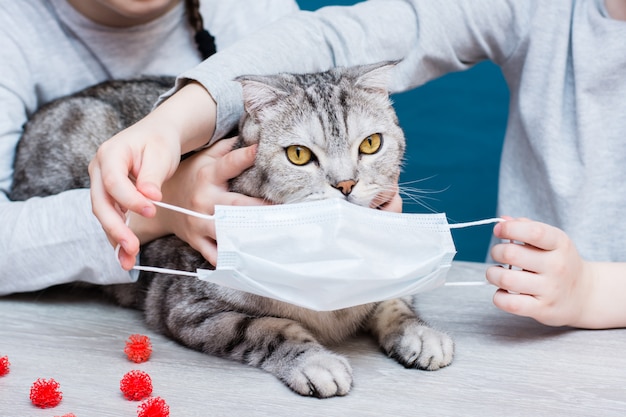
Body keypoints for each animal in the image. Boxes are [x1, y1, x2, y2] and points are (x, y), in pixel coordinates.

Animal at [11, 61, 454, 396]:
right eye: (299, 155)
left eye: (370, 144)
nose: (345, 185)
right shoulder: (190, 309)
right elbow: (273, 328)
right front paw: (316, 362)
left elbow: (395, 302)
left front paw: (420, 335)